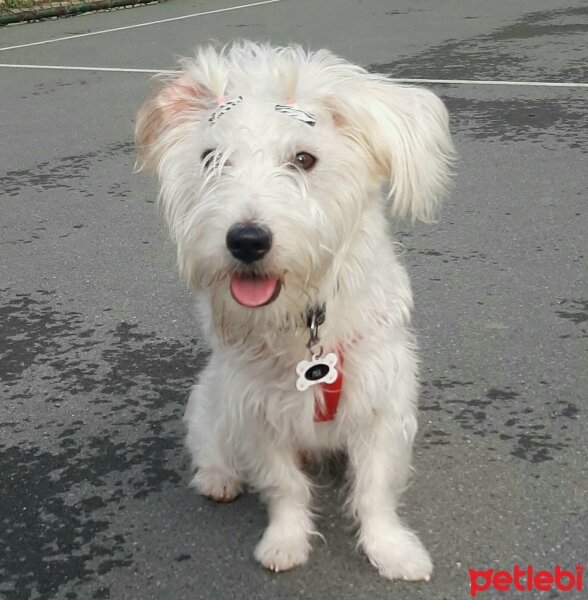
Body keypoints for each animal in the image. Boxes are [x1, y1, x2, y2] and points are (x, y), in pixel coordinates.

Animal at [134, 41, 454, 580]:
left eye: (304, 159)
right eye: (210, 159)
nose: (246, 240)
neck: (305, 321)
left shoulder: (381, 405)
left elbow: (374, 490)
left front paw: (391, 549)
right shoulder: (256, 411)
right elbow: (284, 486)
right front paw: (285, 542)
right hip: (209, 400)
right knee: (209, 444)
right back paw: (218, 477)